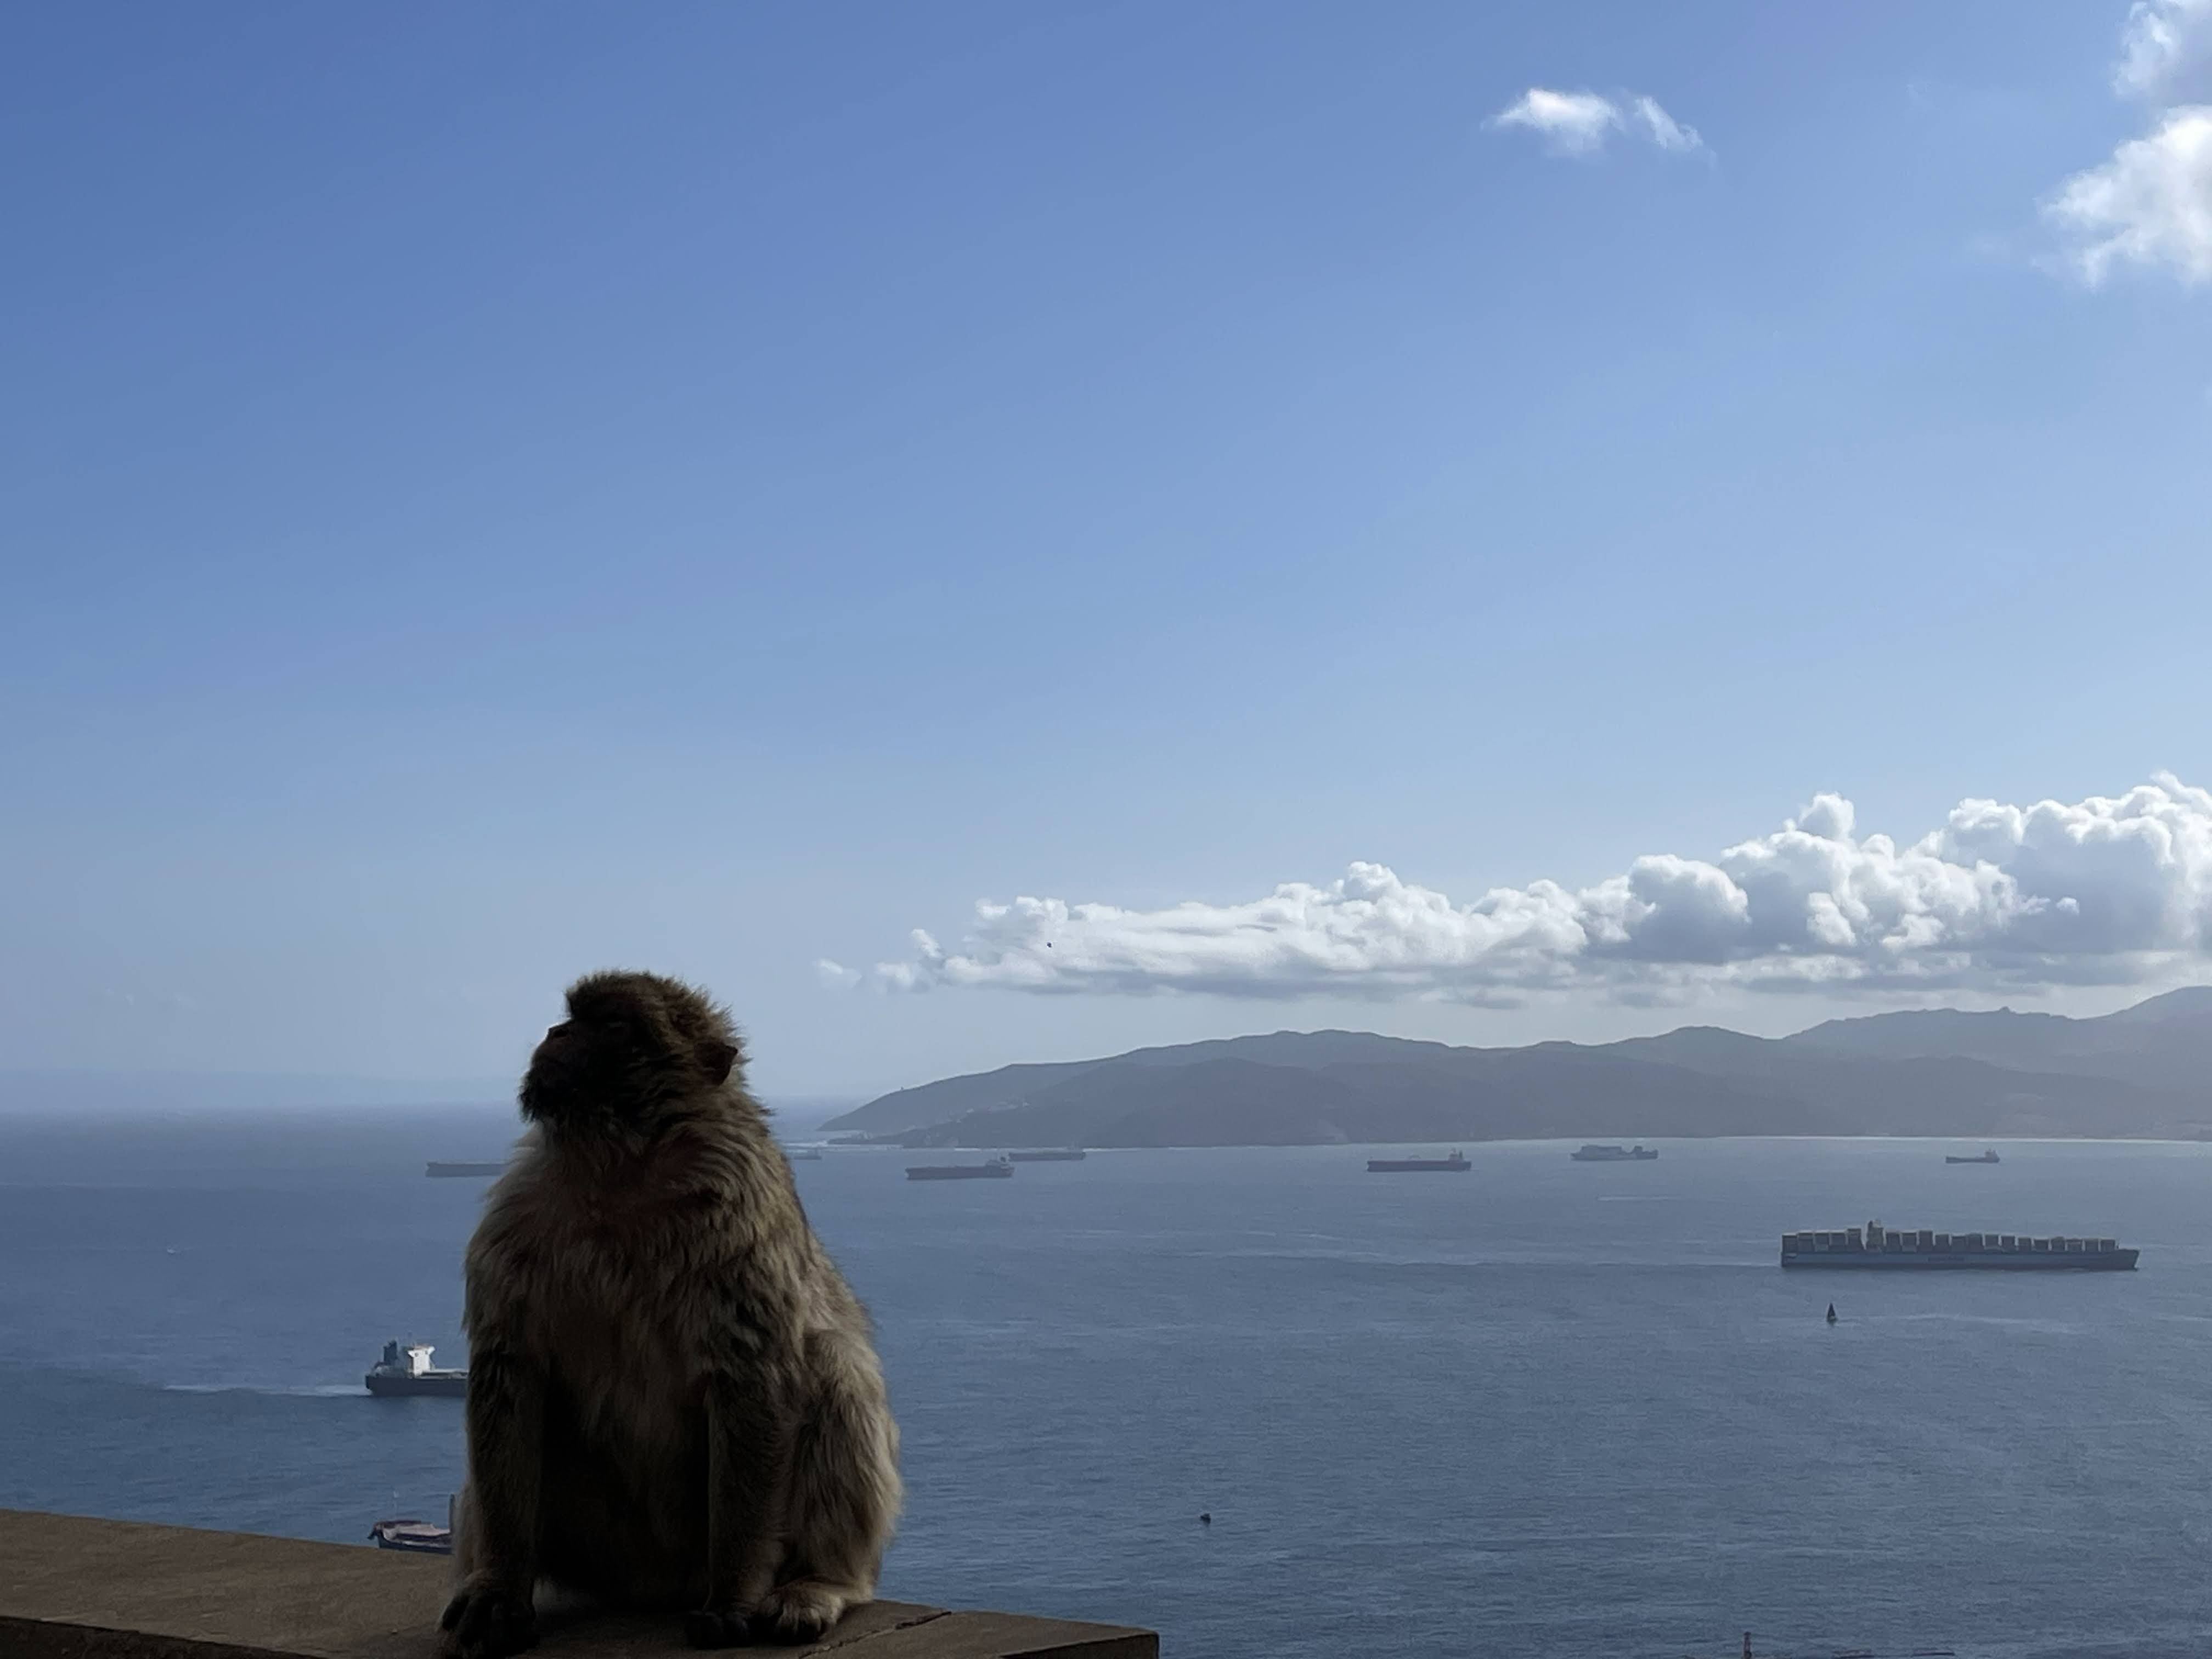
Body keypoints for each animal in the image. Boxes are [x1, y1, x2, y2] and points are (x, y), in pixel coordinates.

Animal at [440, 969, 898, 1654]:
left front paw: (735, 1595)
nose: (556, 1032)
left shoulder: (738, 1206)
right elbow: (508, 1372)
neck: (619, 1164)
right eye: (571, 1016)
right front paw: (497, 1588)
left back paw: (820, 1584)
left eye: (612, 1025)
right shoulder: (517, 1216)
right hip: (598, 1541)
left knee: (837, 1369)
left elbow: (754, 1376)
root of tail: (653, 1585)